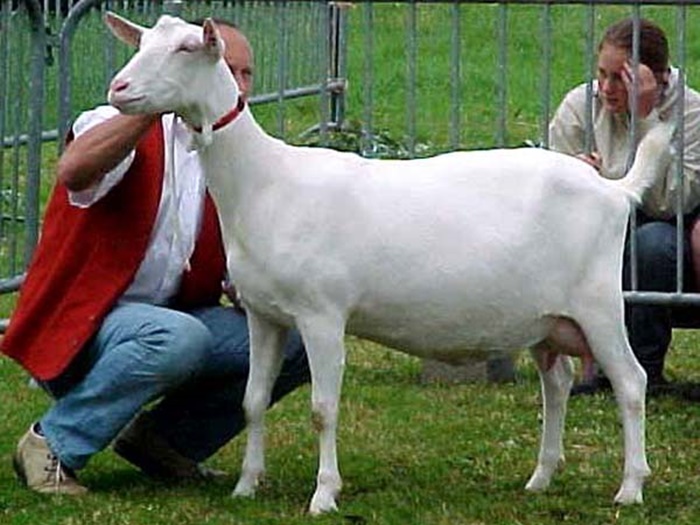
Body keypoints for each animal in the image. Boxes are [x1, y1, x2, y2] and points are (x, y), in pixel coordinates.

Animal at [104, 13, 673, 514]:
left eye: (186, 48)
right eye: (142, 42)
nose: (118, 88)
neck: (265, 182)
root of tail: (614, 189)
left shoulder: (322, 313)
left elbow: (322, 409)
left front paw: (324, 495)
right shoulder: (263, 314)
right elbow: (252, 399)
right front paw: (246, 486)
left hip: (598, 303)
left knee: (631, 383)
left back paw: (630, 488)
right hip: (546, 319)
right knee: (557, 385)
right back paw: (541, 477)